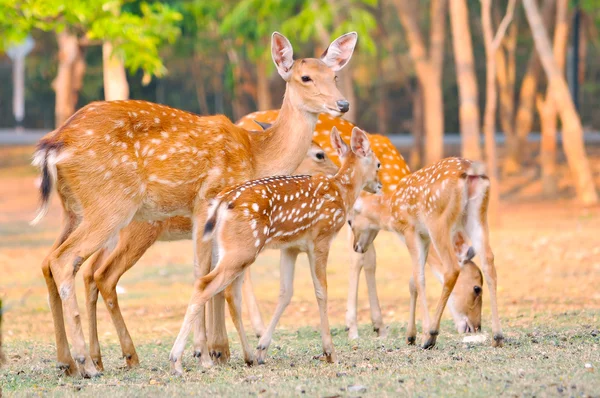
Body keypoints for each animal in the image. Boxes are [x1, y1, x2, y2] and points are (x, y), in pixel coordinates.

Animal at [30, 31, 356, 376]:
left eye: (334, 76)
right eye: (305, 77)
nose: (342, 104)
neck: (256, 157)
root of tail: (53, 144)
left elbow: (208, 274)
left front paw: (215, 351)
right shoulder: (208, 199)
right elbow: (205, 273)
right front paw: (206, 353)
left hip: (74, 211)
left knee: (52, 262)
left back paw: (70, 361)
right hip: (113, 206)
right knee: (69, 262)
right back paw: (88, 363)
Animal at [169, 127, 382, 374]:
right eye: (378, 164)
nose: (379, 186)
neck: (342, 192)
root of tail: (221, 203)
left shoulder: (291, 247)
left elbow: (285, 292)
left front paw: (262, 350)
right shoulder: (321, 238)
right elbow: (321, 291)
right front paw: (330, 352)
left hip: (227, 249)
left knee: (228, 293)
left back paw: (248, 356)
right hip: (243, 249)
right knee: (206, 285)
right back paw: (177, 360)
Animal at [237, 111, 486, 338]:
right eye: (476, 288)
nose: (474, 326)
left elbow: (370, 259)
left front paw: (379, 326)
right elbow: (357, 260)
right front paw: (353, 327)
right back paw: (258, 329)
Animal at [346, 159, 502, 348]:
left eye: (349, 222)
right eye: (477, 288)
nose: (356, 246)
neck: (391, 210)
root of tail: (471, 170)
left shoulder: (410, 231)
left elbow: (419, 279)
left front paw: (423, 333)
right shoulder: (424, 236)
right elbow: (413, 282)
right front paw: (410, 336)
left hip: (438, 220)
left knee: (452, 268)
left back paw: (431, 335)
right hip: (477, 216)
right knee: (489, 261)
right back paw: (497, 336)